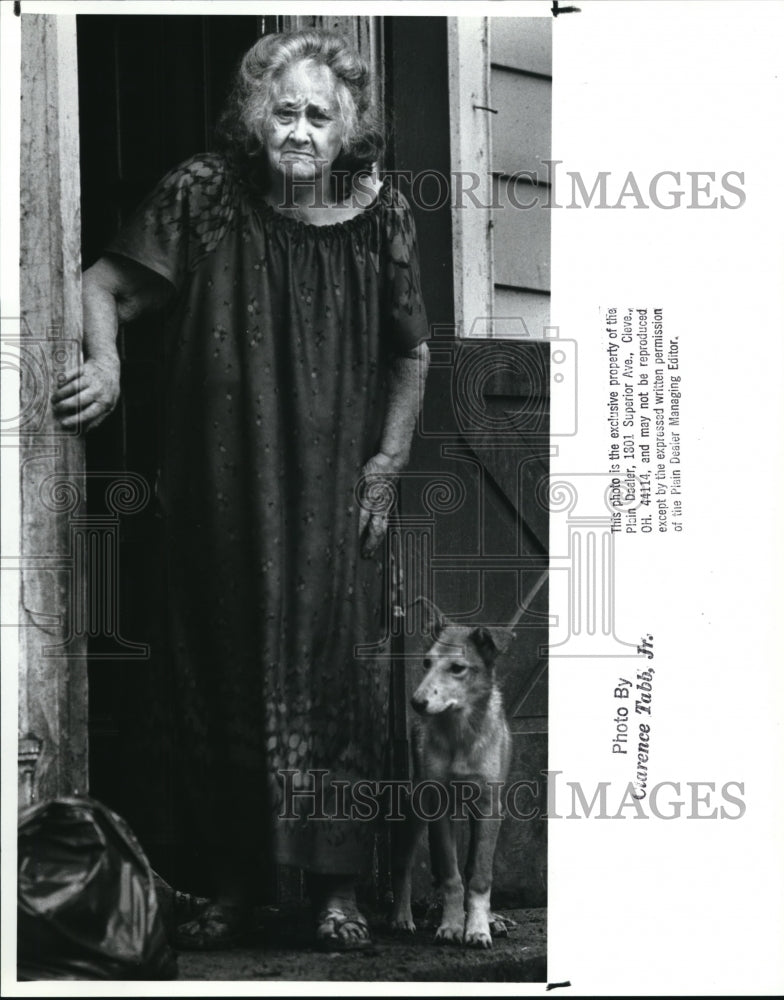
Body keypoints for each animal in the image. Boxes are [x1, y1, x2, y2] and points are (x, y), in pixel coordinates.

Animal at [390, 596, 516, 948]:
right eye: (426, 663)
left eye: (457, 668)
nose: (416, 702)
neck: (461, 734)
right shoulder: (438, 806)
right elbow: (450, 875)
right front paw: (451, 924)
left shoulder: (489, 807)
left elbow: (479, 876)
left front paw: (478, 927)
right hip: (416, 809)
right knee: (403, 864)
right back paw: (402, 917)